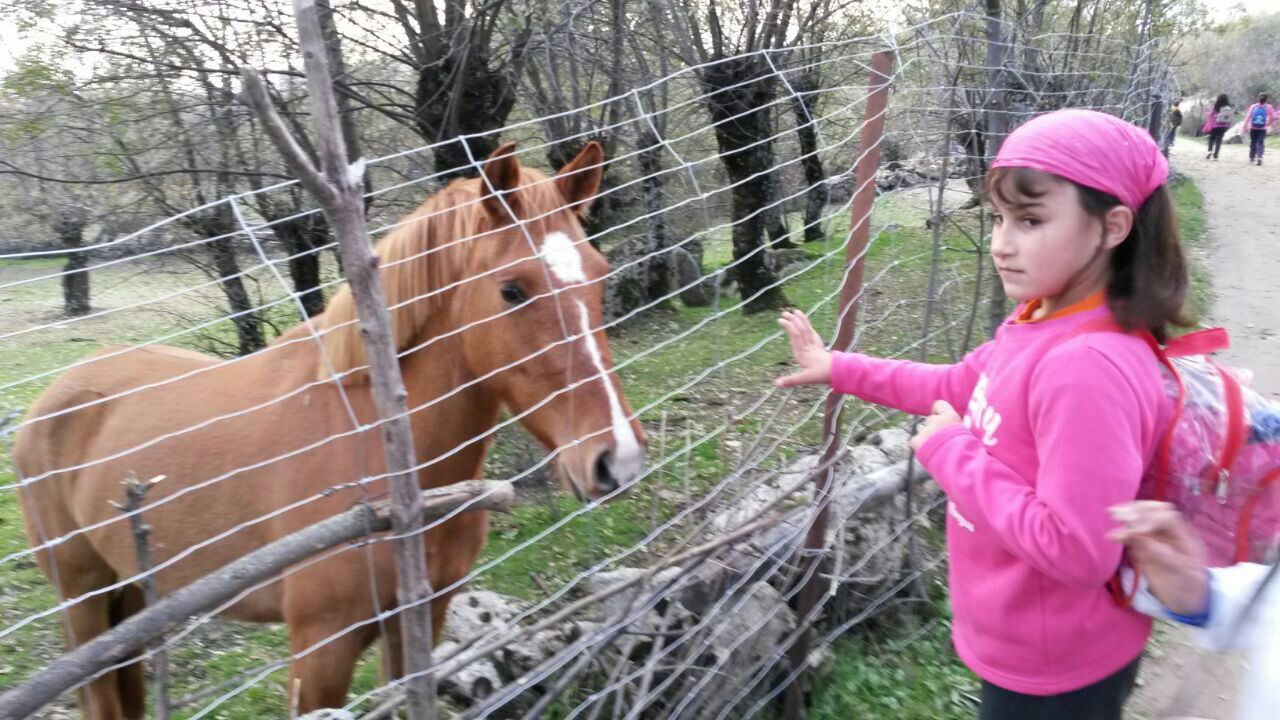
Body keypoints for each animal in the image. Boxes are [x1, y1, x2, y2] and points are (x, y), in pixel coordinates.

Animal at [13, 141, 646, 718]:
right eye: (513, 289)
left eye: (599, 276)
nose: (616, 457)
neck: (379, 450)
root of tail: (54, 397)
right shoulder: (321, 651)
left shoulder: (422, 617)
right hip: (83, 601)